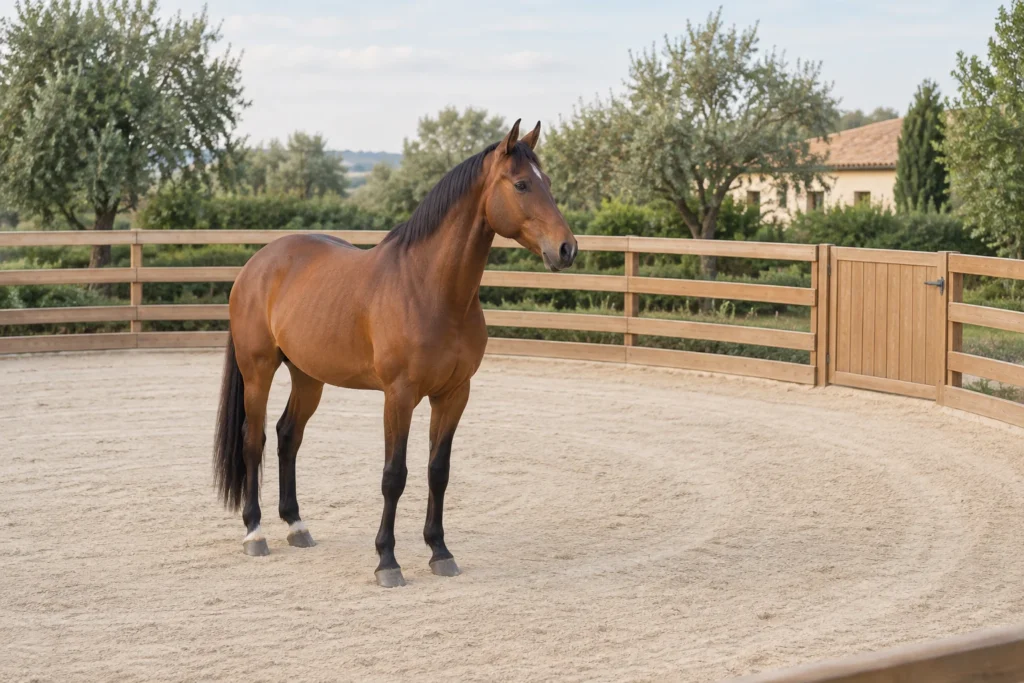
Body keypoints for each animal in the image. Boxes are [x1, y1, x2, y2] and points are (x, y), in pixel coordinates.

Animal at [213, 119, 578, 587]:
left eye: (546, 181)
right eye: (521, 184)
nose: (567, 249)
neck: (430, 289)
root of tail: (255, 265)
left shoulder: (454, 395)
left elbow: (438, 471)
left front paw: (440, 551)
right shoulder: (399, 397)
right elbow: (394, 475)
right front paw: (387, 560)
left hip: (308, 376)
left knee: (287, 436)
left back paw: (296, 526)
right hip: (258, 371)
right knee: (253, 440)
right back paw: (255, 532)